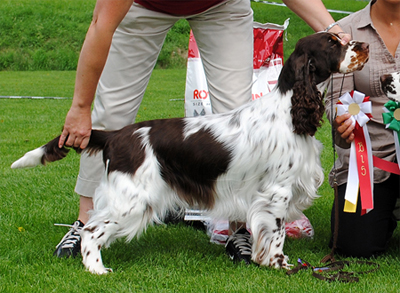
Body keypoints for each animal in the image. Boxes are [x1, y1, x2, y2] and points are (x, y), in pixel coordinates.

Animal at [11, 33, 368, 272]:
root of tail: (116, 135)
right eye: (333, 44)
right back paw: (97, 270)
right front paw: (280, 264)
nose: (363, 45)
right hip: (131, 199)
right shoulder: (277, 191)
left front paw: (264, 260)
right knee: (90, 230)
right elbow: (276, 231)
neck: (290, 110)